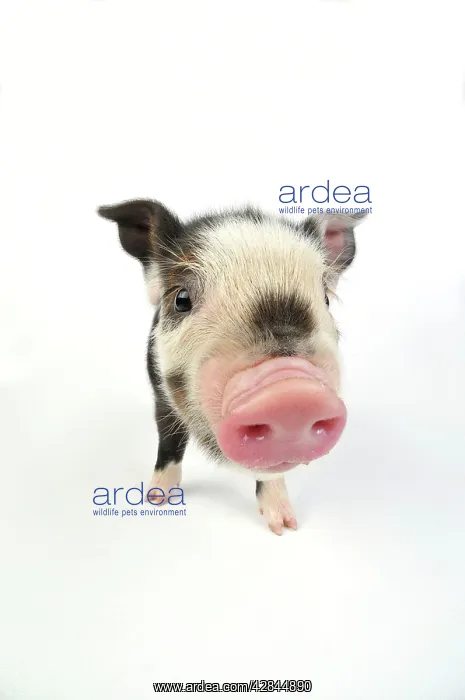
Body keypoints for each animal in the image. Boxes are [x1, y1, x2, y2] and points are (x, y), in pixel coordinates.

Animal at [97, 200, 367, 534]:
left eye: (326, 299)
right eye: (181, 299)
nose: (291, 390)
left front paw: (284, 527)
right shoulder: (159, 390)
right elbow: (169, 440)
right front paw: (156, 500)